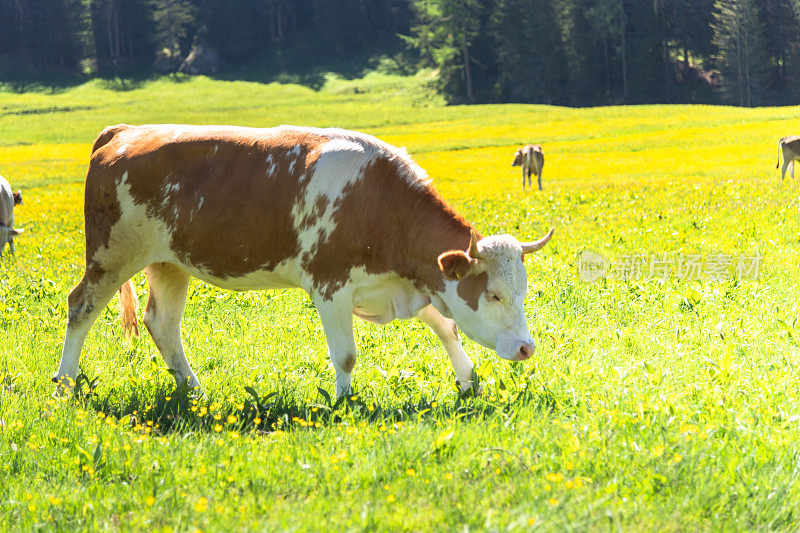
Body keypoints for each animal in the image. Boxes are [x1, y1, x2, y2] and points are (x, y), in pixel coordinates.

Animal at [53, 124, 552, 396]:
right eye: (493, 294)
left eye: (524, 291)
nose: (526, 348)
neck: (378, 199)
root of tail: (123, 132)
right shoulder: (330, 285)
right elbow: (346, 355)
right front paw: (345, 402)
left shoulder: (409, 280)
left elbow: (448, 327)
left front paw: (468, 382)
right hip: (112, 256)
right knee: (81, 307)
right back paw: (65, 385)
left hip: (170, 263)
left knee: (163, 323)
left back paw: (193, 390)